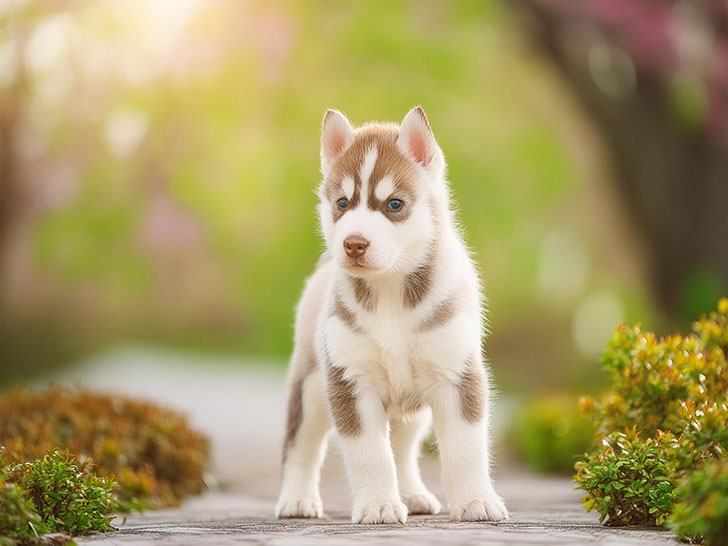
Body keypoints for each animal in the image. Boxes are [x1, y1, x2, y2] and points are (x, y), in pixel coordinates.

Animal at [276, 107, 510, 524]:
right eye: (342, 203)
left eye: (394, 205)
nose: (353, 243)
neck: (390, 291)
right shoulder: (350, 382)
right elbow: (371, 454)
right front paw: (378, 505)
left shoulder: (457, 376)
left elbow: (466, 449)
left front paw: (476, 501)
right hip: (311, 388)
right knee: (300, 446)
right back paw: (297, 499)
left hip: (412, 410)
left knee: (403, 447)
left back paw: (413, 494)